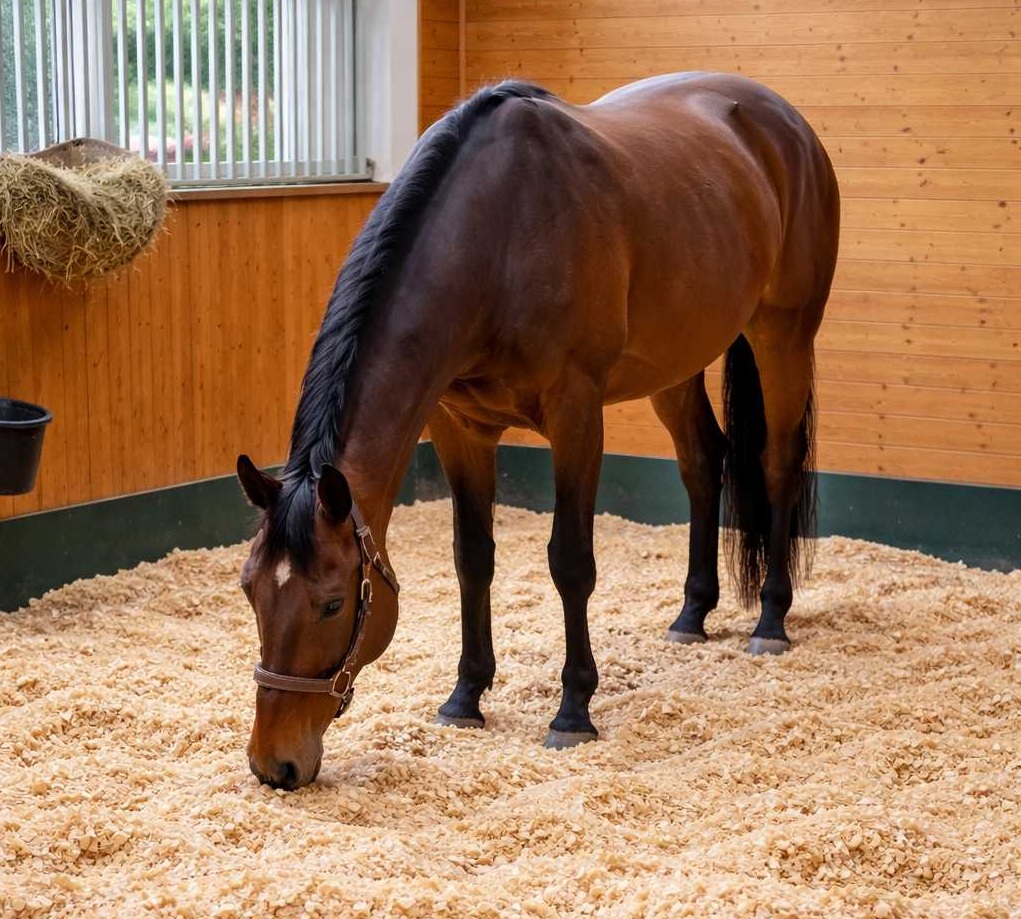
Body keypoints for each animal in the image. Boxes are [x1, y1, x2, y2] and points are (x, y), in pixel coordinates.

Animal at [237, 72, 840, 790]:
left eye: (332, 603)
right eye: (249, 588)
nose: (274, 763)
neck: (500, 234)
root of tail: (785, 123)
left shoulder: (576, 414)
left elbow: (570, 562)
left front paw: (573, 708)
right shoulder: (460, 425)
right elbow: (473, 559)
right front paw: (466, 696)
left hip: (783, 335)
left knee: (777, 464)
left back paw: (771, 618)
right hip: (676, 360)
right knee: (703, 462)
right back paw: (693, 613)